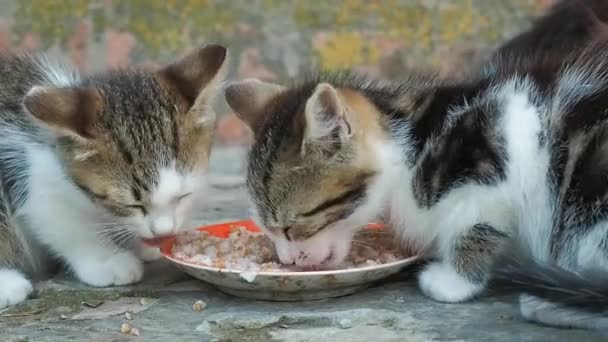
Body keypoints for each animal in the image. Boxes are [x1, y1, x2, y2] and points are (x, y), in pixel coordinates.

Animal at [0, 44, 227, 308]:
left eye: (183, 196)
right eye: (132, 204)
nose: (163, 233)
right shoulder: (35, 178)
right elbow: (65, 224)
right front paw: (107, 260)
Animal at [224, 36, 608, 330]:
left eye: (290, 228)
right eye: (268, 230)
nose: (287, 262)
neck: (409, 150)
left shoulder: (495, 168)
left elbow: (475, 226)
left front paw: (454, 281)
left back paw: (550, 302)